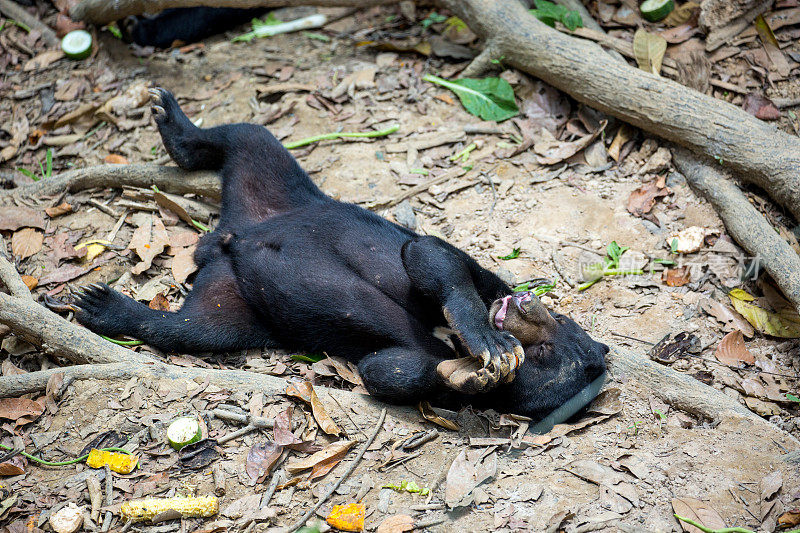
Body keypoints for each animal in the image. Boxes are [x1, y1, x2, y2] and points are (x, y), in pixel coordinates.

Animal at [67, 88, 608, 420]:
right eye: (559, 318)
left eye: (545, 354)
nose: (525, 304)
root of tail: (227, 237)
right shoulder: (479, 274)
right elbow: (432, 257)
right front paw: (489, 342)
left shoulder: (421, 359)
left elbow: (390, 370)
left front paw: (474, 377)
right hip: (281, 191)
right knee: (249, 136)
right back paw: (172, 120)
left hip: (237, 302)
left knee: (187, 329)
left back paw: (103, 305)